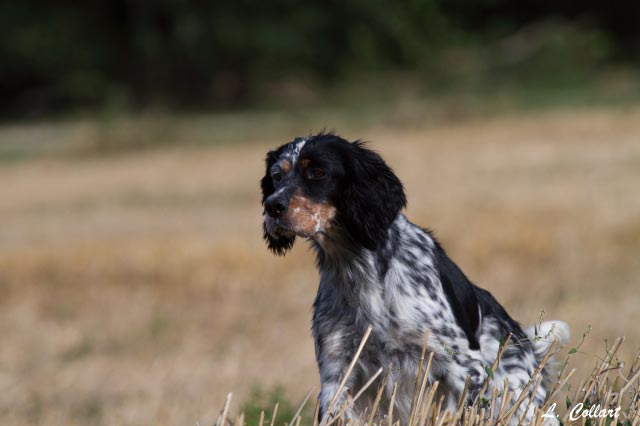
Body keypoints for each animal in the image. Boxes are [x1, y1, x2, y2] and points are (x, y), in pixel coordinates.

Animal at [260, 132, 568, 422]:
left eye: (318, 172)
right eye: (277, 176)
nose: (273, 206)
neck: (356, 267)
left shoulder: (466, 370)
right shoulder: (337, 374)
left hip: (520, 399)